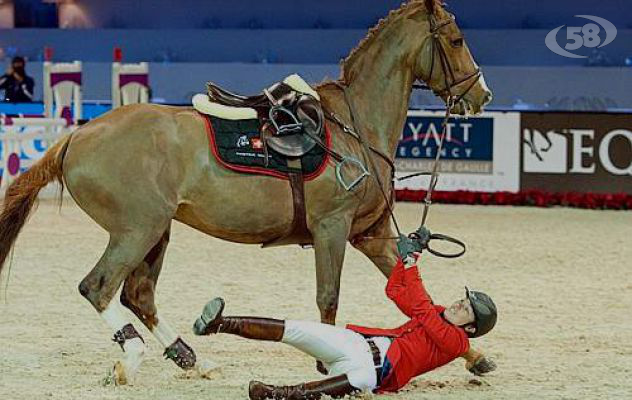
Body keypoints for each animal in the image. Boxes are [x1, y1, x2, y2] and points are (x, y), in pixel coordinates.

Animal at [0, 0, 494, 388]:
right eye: (455, 40)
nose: (482, 96)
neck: (355, 128)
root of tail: (77, 136)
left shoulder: (369, 235)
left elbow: (419, 299)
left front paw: (474, 356)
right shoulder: (332, 229)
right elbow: (328, 297)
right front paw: (327, 361)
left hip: (156, 231)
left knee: (138, 295)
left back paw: (192, 359)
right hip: (137, 230)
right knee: (99, 287)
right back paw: (133, 359)